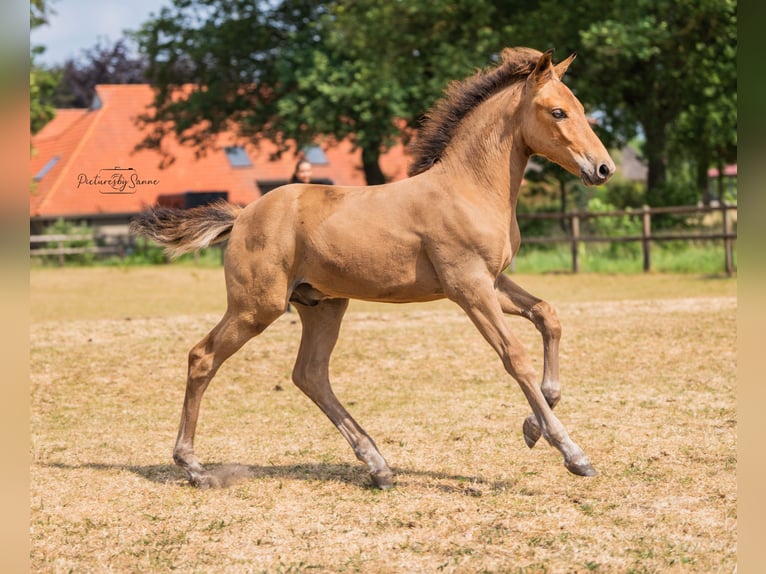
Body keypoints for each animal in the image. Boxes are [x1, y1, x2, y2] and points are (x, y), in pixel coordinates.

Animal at [130, 47, 615, 489]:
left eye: (580, 109)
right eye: (558, 112)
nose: (604, 168)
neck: (470, 187)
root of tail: (244, 213)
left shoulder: (491, 281)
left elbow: (548, 315)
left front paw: (534, 425)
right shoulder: (469, 286)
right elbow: (515, 357)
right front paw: (572, 452)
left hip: (323, 305)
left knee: (309, 374)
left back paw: (378, 465)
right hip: (256, 307)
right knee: (203, 357)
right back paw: (193, 467)